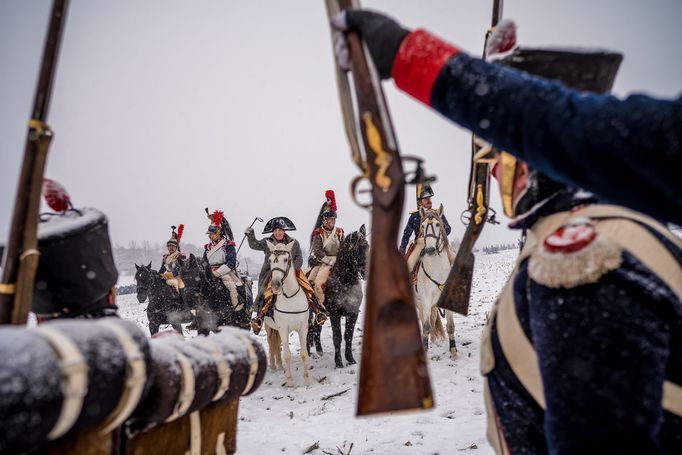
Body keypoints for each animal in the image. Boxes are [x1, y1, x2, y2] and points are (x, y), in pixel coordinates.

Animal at [262, 242, 310, 388]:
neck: (290, 297)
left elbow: (304, 353)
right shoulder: (283, 329)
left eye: (285, 259)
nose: (275, 284)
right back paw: (273, 366)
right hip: (269, 327)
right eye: (270, 260)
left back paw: (279, 365)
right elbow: (287, 355)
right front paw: (289, 382)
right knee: (271, 345)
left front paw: (307, 381)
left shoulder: (303, 328)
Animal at [308, 226, 366, 368]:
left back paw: (319, 351)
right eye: (359, 248)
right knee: (309, 329)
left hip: (321, 314)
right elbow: (337, 338)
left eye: (367, 246)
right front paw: (339, 362)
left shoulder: (353, 313)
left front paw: (350, 360)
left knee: (316, 329)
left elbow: (348, 336)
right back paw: (308, 352)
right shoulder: (335, 314)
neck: (345, 282)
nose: (366, 270)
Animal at [414, 206, 456, 360]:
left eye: (438, 224)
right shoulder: (425, 301)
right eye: (422, 225)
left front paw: (453, 352)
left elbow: (450, 326)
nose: (430, 250)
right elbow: (426, 327)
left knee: (432, 318)